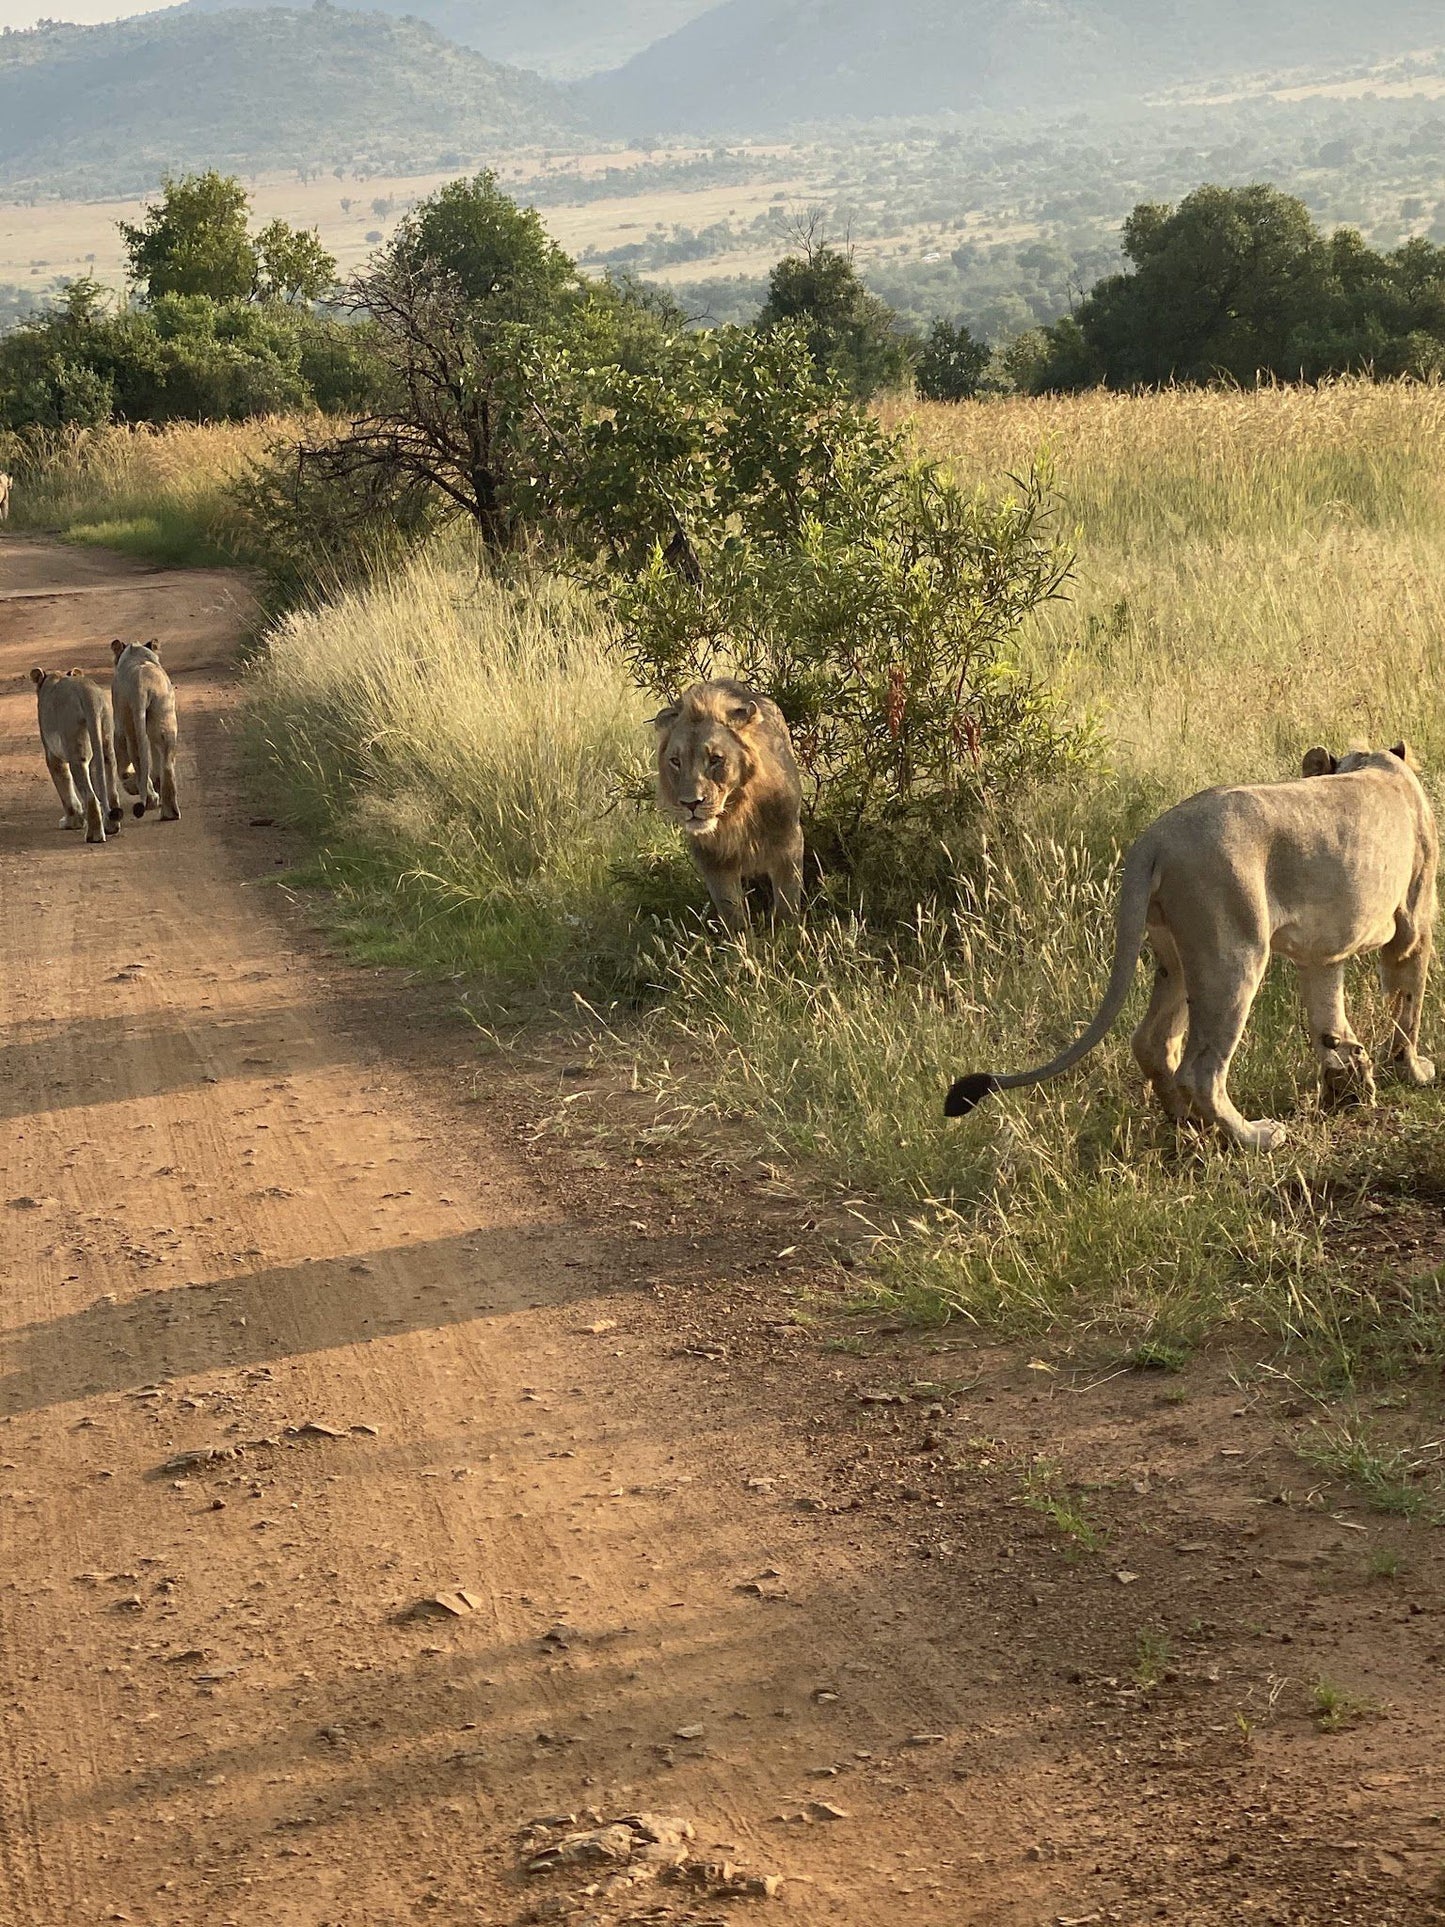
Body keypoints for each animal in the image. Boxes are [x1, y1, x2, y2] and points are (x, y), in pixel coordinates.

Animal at [655, 682, 805, 936]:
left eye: (716, 759)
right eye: (675, 761)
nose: (690, 803)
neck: (736, 812)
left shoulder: (788, 843)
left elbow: (787, 903)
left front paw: (788, 938)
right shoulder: (714, 861)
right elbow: (731, 912)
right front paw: (742, 943)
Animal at [951, 743, 1441, 1148]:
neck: (1371, 761)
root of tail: (1155, 837)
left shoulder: (1322, 953)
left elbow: (1329, 1019)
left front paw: (1348, 1082)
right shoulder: (1414, 926)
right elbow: (1408, 1006)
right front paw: (1413, 1072)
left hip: (1177, 955)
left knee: (1153, 1040)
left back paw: (1187, 1124)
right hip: (1235, 952)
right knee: (1201, 1070)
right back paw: (1255, 1136)